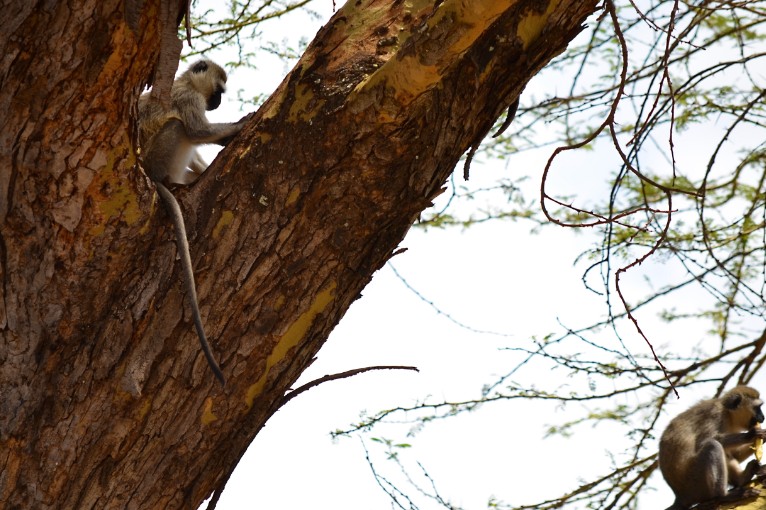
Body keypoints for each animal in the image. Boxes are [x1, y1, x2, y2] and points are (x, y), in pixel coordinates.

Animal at [138, 59, 249, 385]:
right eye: (219, 90)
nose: (218, 102)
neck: (187, 82)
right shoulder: (189, 100)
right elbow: (198, 130)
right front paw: (239, 125)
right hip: (158, 156)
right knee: (177, 127)